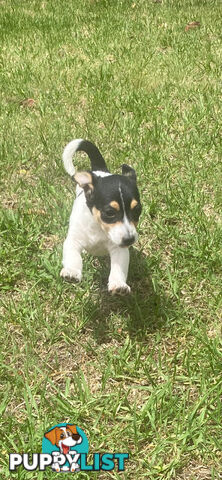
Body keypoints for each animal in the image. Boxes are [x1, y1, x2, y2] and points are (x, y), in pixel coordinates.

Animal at [59, 141, 141, 294]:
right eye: (109, 212)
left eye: (137, 210)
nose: (129, 240)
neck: (98, 227)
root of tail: (100, 170)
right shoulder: (73, 240)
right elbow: (73, 257)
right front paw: (72, 272)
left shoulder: (119, 248)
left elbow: (118, 268)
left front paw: (118, 284)